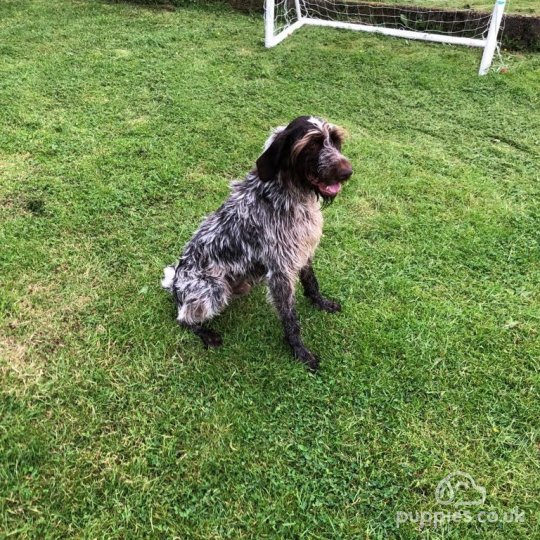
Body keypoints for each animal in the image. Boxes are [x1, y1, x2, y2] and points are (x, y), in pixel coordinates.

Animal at [162, 116, 352, 372]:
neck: (292, 192)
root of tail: (174, 283)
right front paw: (299, 351)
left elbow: (312, 283)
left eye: (335, 140)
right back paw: (206, 334)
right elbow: (290, 318)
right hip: (212, 289)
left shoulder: (302, 252)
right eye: (313, 144)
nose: (347, 172)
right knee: (183, 318)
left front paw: (321, 303)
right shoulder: (280, 271)